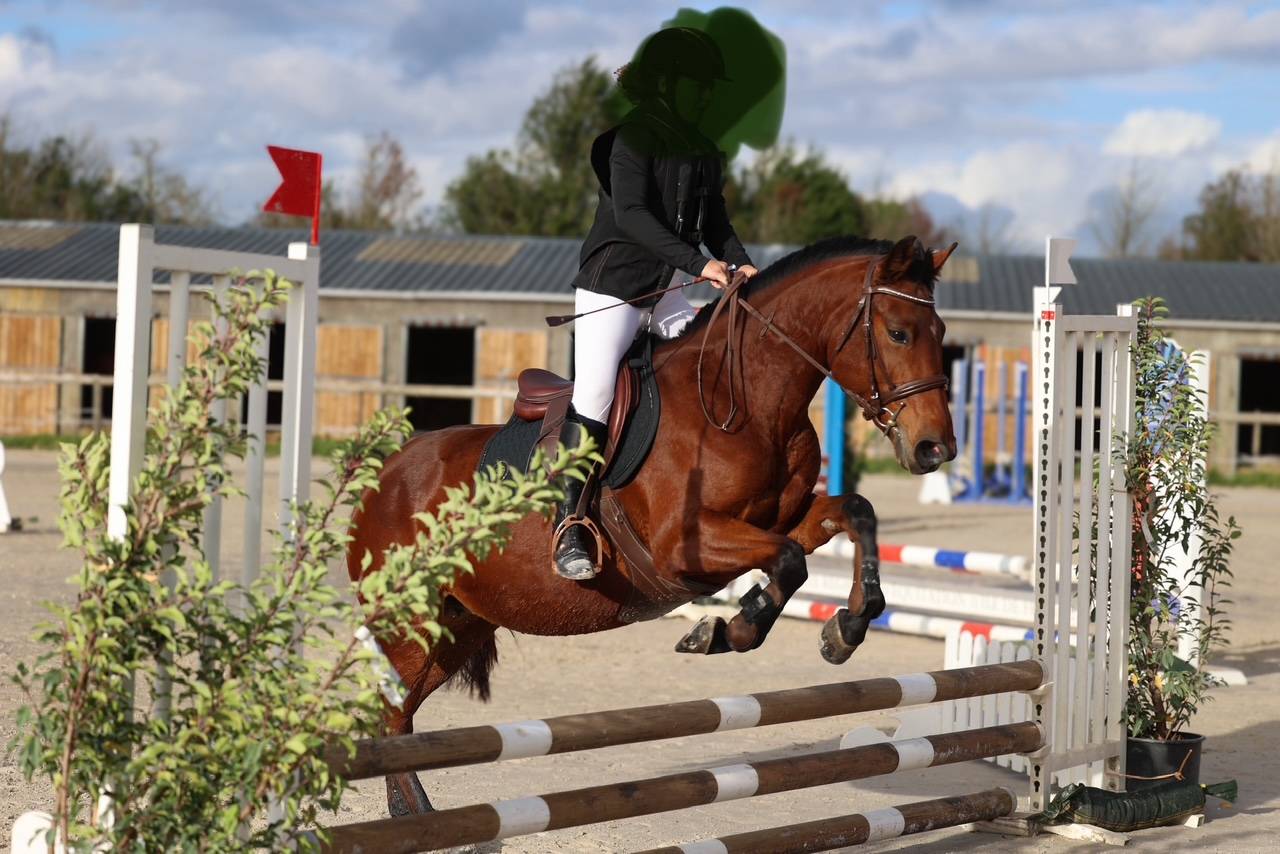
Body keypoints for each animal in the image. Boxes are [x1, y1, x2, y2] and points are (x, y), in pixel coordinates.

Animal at [347, 234, 959, 815]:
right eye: (899, 333)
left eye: (942, 331)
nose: (936, 448)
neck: (746, 401)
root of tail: (383, 473)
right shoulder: (680, 548)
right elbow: (789, 562)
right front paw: (727, 631)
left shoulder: (785, 518)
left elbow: (853, 514)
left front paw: (845, 628)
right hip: (410, 626)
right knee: (391, 717)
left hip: (458, 626)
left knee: (400, 716)